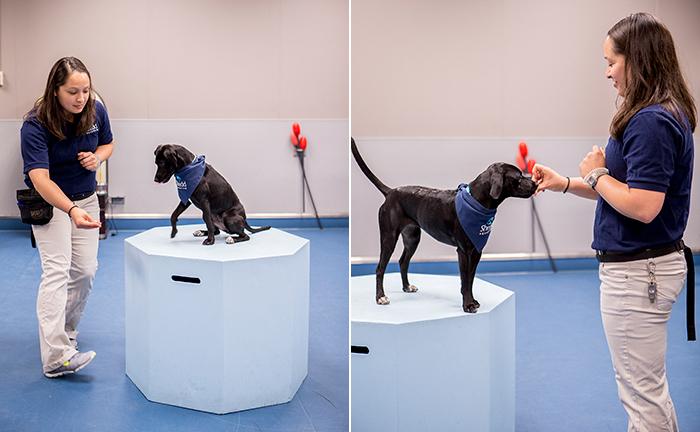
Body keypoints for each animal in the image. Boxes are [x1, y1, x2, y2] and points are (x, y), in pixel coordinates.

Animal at [350, 138, 536, 310]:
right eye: (519, 177)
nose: (535, 183)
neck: (477, 201)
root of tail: (391, 192)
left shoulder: (476, 251)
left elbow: (471, 279)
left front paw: (472, 301)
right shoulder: (464, 251)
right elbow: (465, 279)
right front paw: (468, 305)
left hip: (412, 238)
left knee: (403, 261)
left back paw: (406, 286)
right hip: (389, 237)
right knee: (380, 268)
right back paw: (380, 297)